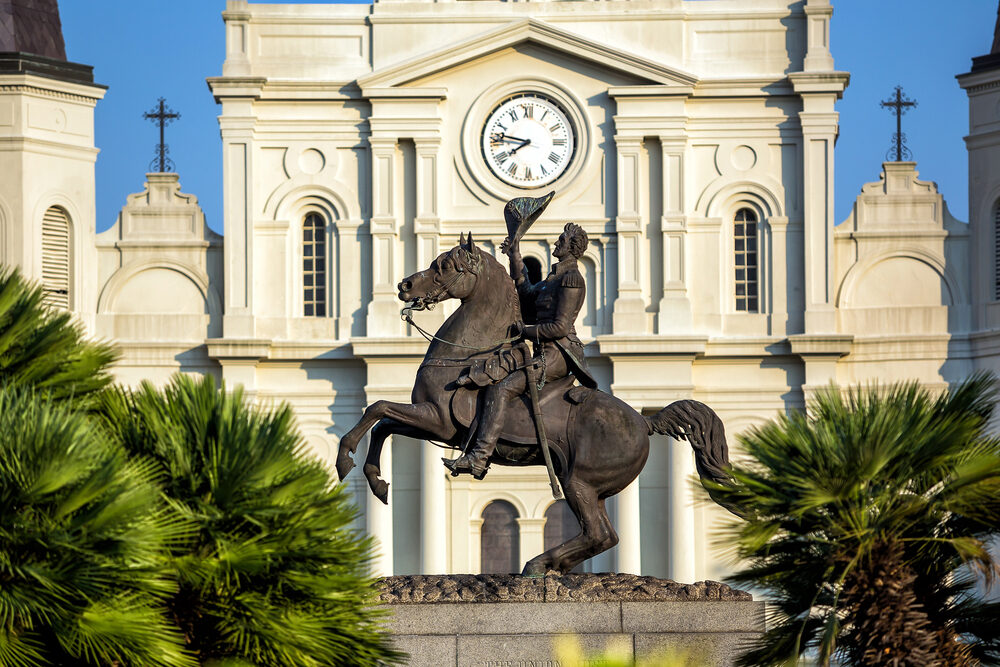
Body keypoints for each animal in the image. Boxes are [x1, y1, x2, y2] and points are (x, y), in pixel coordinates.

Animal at [338, 234, 736, 576]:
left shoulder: (438, 420)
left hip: (578, 482)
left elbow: (377, 410)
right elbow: (382, 422)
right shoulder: (433, 425)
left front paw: (345, 459)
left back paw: (536, 563)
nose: (404, 285)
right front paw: (377, 482)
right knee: (603, 535)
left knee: (599, 534)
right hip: (592, 487)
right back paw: (548, 565)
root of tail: (645, 422)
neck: (462, 355)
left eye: (444, 265)